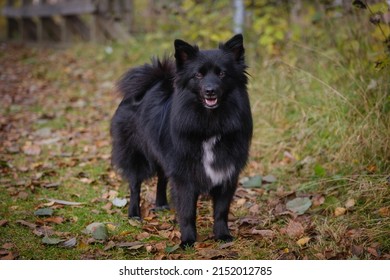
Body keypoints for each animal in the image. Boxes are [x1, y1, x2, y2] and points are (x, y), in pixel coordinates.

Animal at [109, 34, 253, 246]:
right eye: (198, 75)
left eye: (222, 74)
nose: (210, 91)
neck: (210, 123)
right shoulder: (184, 175)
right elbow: (187, 211)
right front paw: (188, 240)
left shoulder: (226, 173)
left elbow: (221, 210)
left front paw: (222, 235)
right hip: (136, 155)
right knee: (135, 185)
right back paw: (134, 214)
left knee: (161, 178)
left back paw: (161, 204)